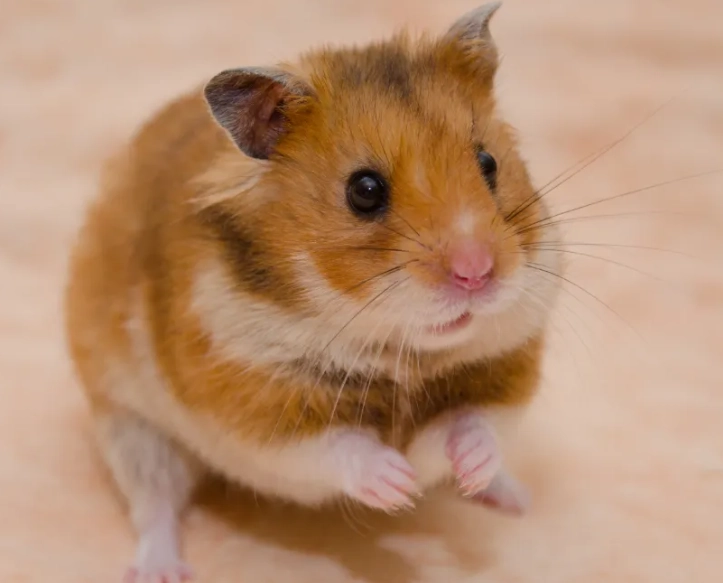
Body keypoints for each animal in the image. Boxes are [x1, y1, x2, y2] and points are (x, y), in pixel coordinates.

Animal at [64, 2, 561, 581]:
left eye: (489, 163)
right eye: (364, 191)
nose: (477, 274)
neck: (401, 352)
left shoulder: (504, 370)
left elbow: (471, 425)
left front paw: (460, 471)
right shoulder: (252, 405)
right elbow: (337, 446)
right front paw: (399, 485)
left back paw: (511, 497)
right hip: (131, 427)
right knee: (154, 505)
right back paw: (159, 570)